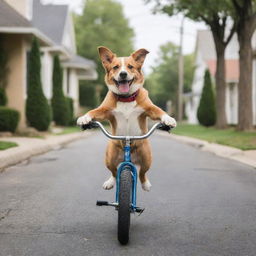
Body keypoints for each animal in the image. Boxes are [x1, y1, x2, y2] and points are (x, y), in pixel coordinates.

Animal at [76, 47, 176, 192]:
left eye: (130, 67)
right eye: (116, 67)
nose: (123, 74)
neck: (126, 98)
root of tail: (130, 159)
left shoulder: (149, 108)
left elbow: (159, 110)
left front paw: (168, 119)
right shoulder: (104, 110)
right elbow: (93, 111)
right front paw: (84, 118)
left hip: (147, 158)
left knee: (142, 173)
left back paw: (145, 184)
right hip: (110, 158)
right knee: (113, 172)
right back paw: (110, 182)